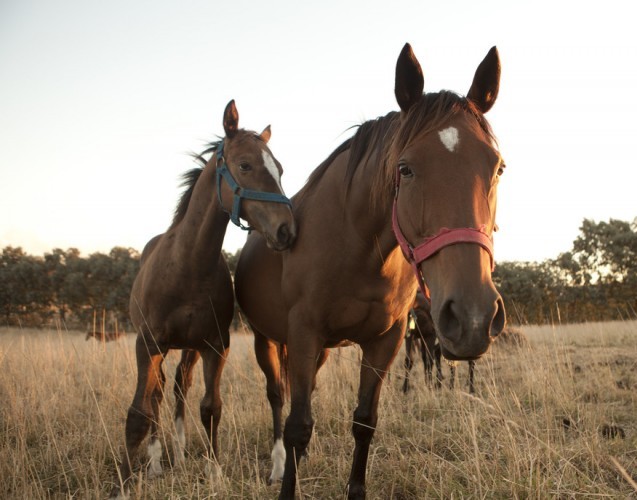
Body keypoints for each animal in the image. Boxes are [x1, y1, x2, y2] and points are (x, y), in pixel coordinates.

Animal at [110, 99, 296, 498]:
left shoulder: (214, 345)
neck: (188, 265)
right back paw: (156, 463)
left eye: (279, 168)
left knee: (180, 387)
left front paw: (214, 473)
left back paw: (179, 454)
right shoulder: (147, 344)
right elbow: (139, 412)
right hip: (162, 348)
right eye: (245, 165)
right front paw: (124, 484)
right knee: (158, 395)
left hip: (189, 349)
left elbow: (211, 407)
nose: (287, 230)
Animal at [235, 44, 506, 500]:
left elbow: (364, 421)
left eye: (498, 167)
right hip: (267, 340)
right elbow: (297, 424)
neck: (357, 247)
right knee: (278, 398)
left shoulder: (386, 341)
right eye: (405, 168)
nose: (472, 318)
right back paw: (279, 463)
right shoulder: (303, 333)